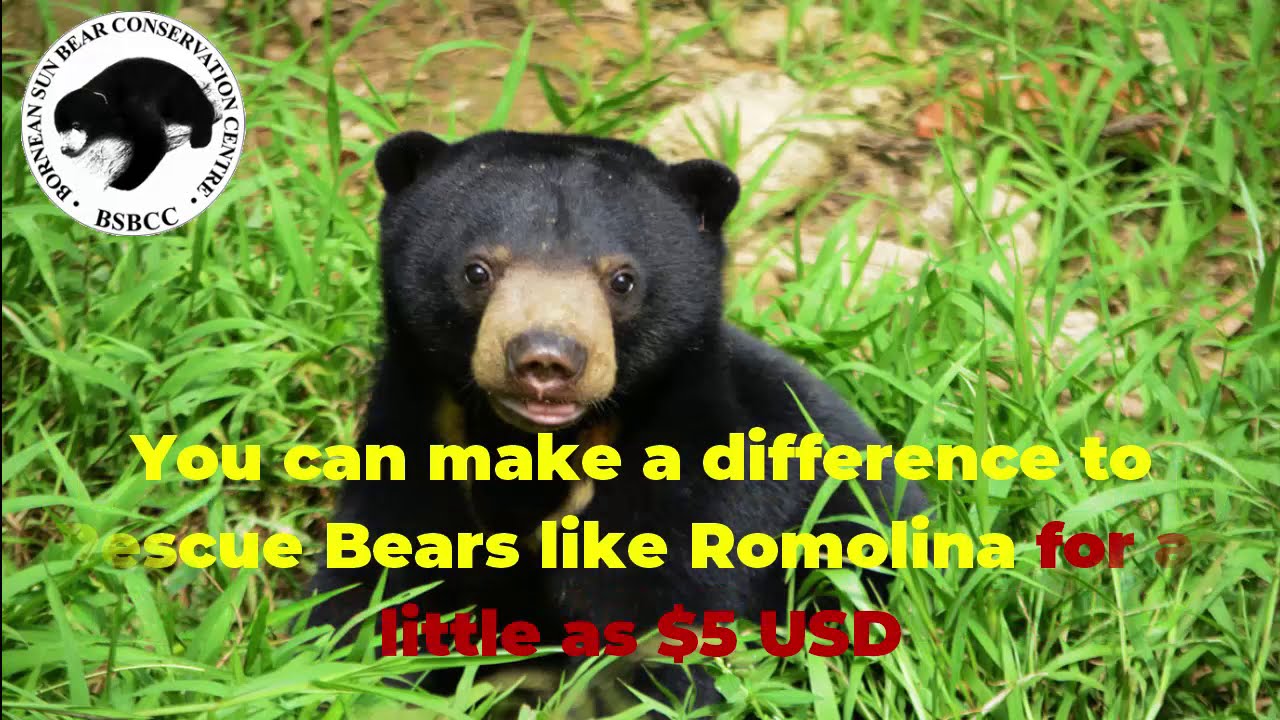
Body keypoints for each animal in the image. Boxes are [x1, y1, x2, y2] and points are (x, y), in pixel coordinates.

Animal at [54, 57, 218, 191]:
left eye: (76, 125)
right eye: (59, 131)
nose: (65, 148)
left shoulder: (135, 105)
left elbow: (153, 140)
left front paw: (120, 184)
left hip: (178, 95)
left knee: (196, 108)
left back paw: (201, 137)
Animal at [305, 130, 930, 716]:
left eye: (622, 279)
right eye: (477, 270)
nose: (546, 359)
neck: (528, 447)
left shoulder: (688, 480)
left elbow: (658, 632)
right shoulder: (418, 445)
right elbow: (370, 592)